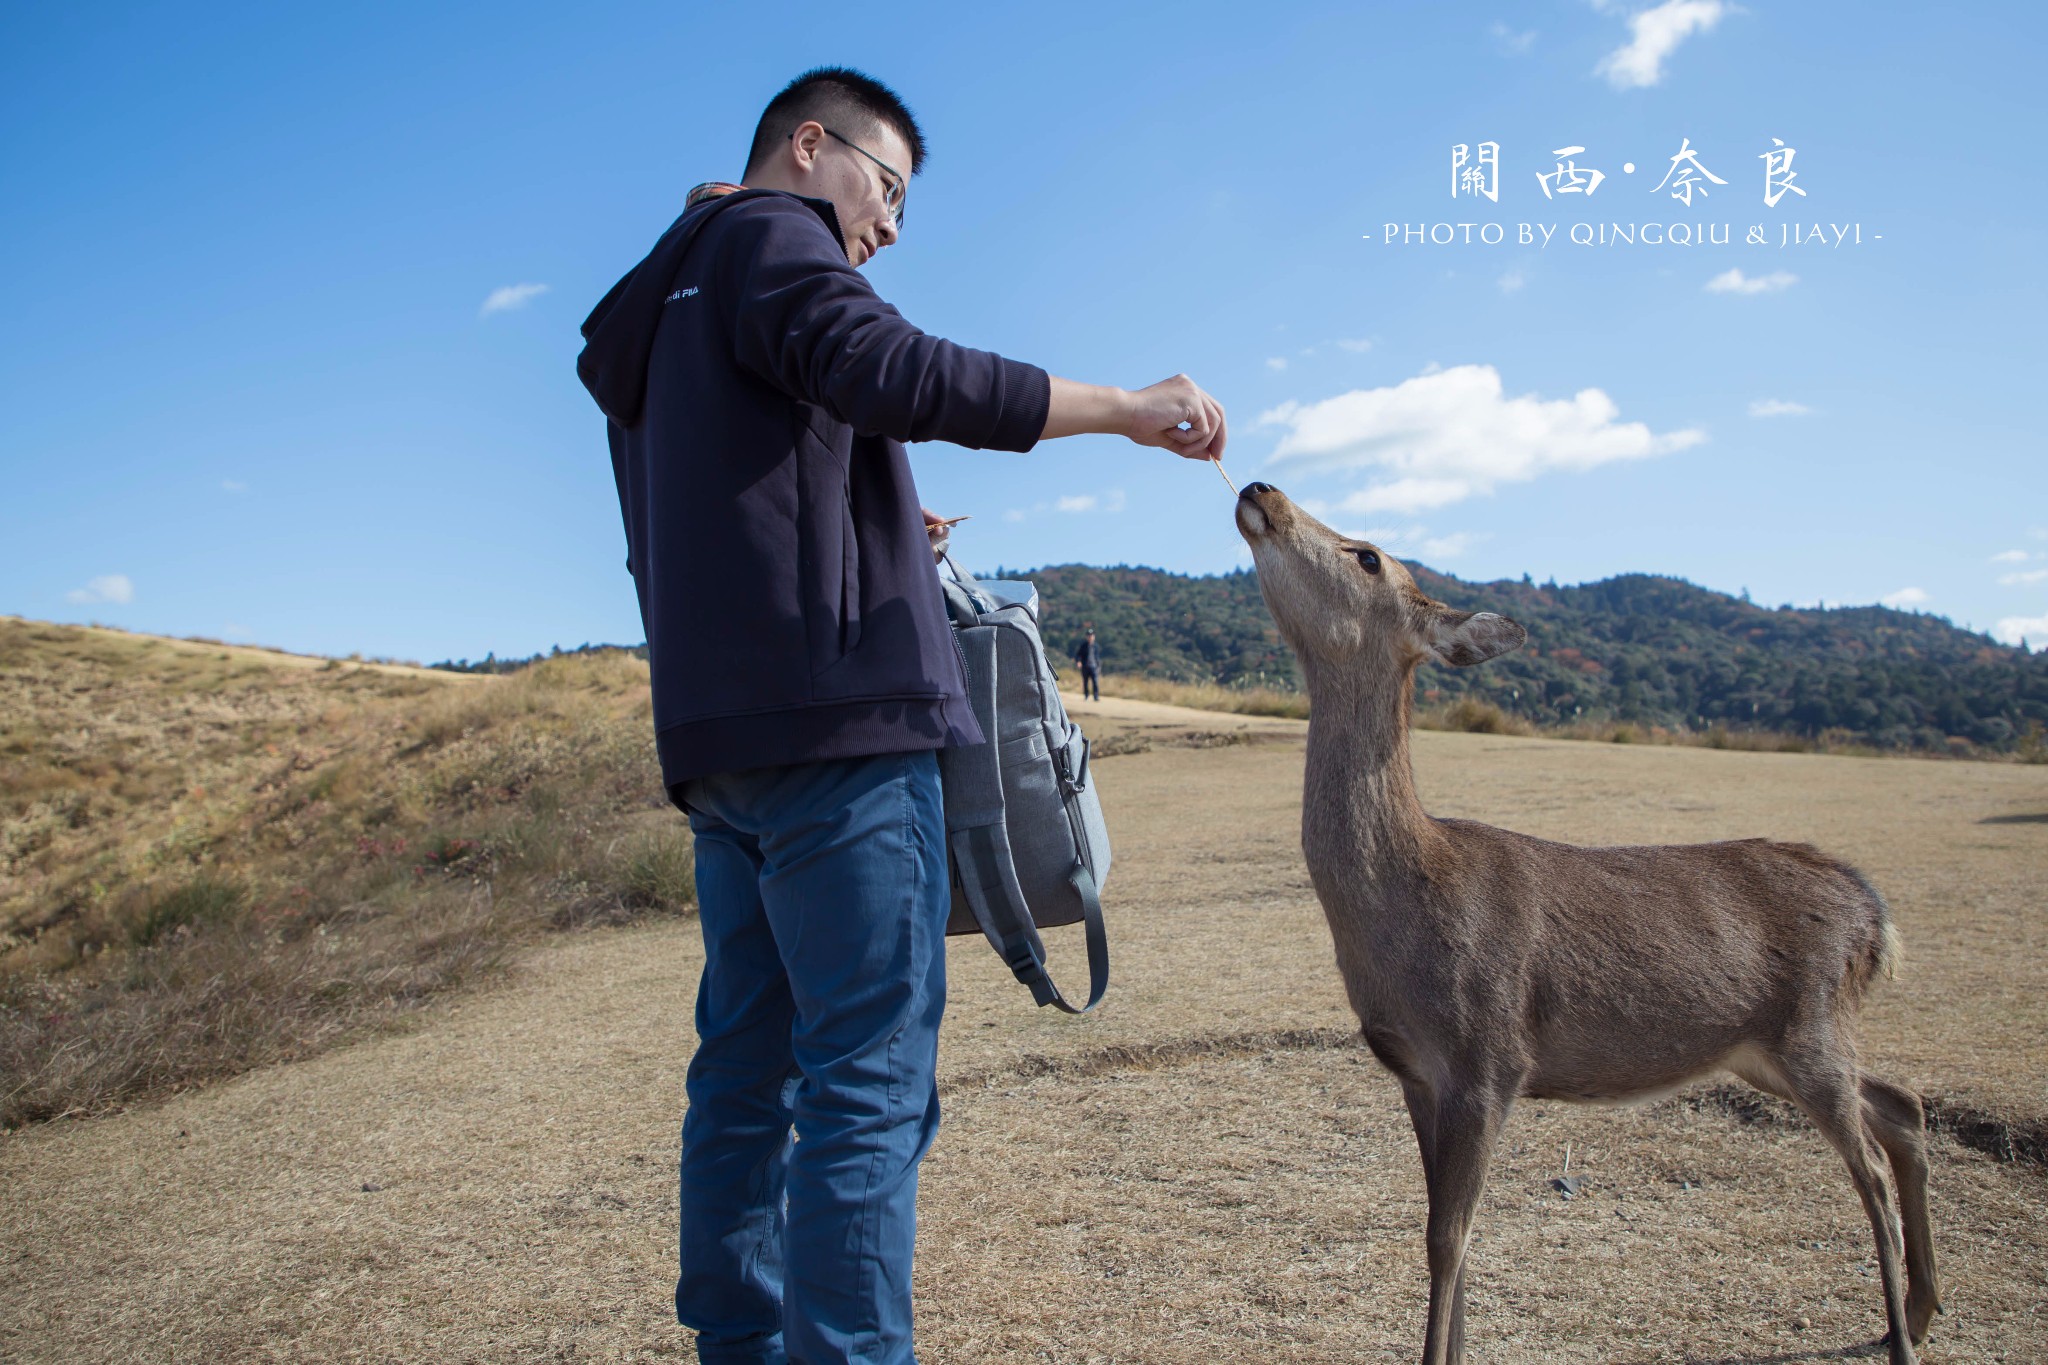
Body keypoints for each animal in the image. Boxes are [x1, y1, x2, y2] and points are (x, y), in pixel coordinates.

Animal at [1228, 485, 1933, 1358]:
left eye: (1367, 555)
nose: (1260, 490)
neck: (1406, 914)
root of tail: (1875, 918)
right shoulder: (1419, 1073)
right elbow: (1447, 1235)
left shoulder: (1490, 1054)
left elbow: (1447, 1237)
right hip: (1766, 1047)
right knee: (1903, 1104)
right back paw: (1924, 1309)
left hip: (1812, 1027)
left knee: (1870, 1171)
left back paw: (1902, 1333)